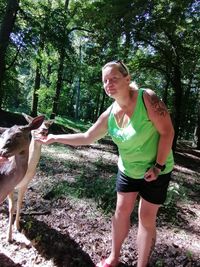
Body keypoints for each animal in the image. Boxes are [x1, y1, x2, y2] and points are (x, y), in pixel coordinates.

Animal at [0, 115, 45, 243]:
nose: (2, 152)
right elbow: (12, 207)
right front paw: (9, 237)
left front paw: (17, 227)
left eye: (18, 134)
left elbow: (18, 204)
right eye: (3, 135)